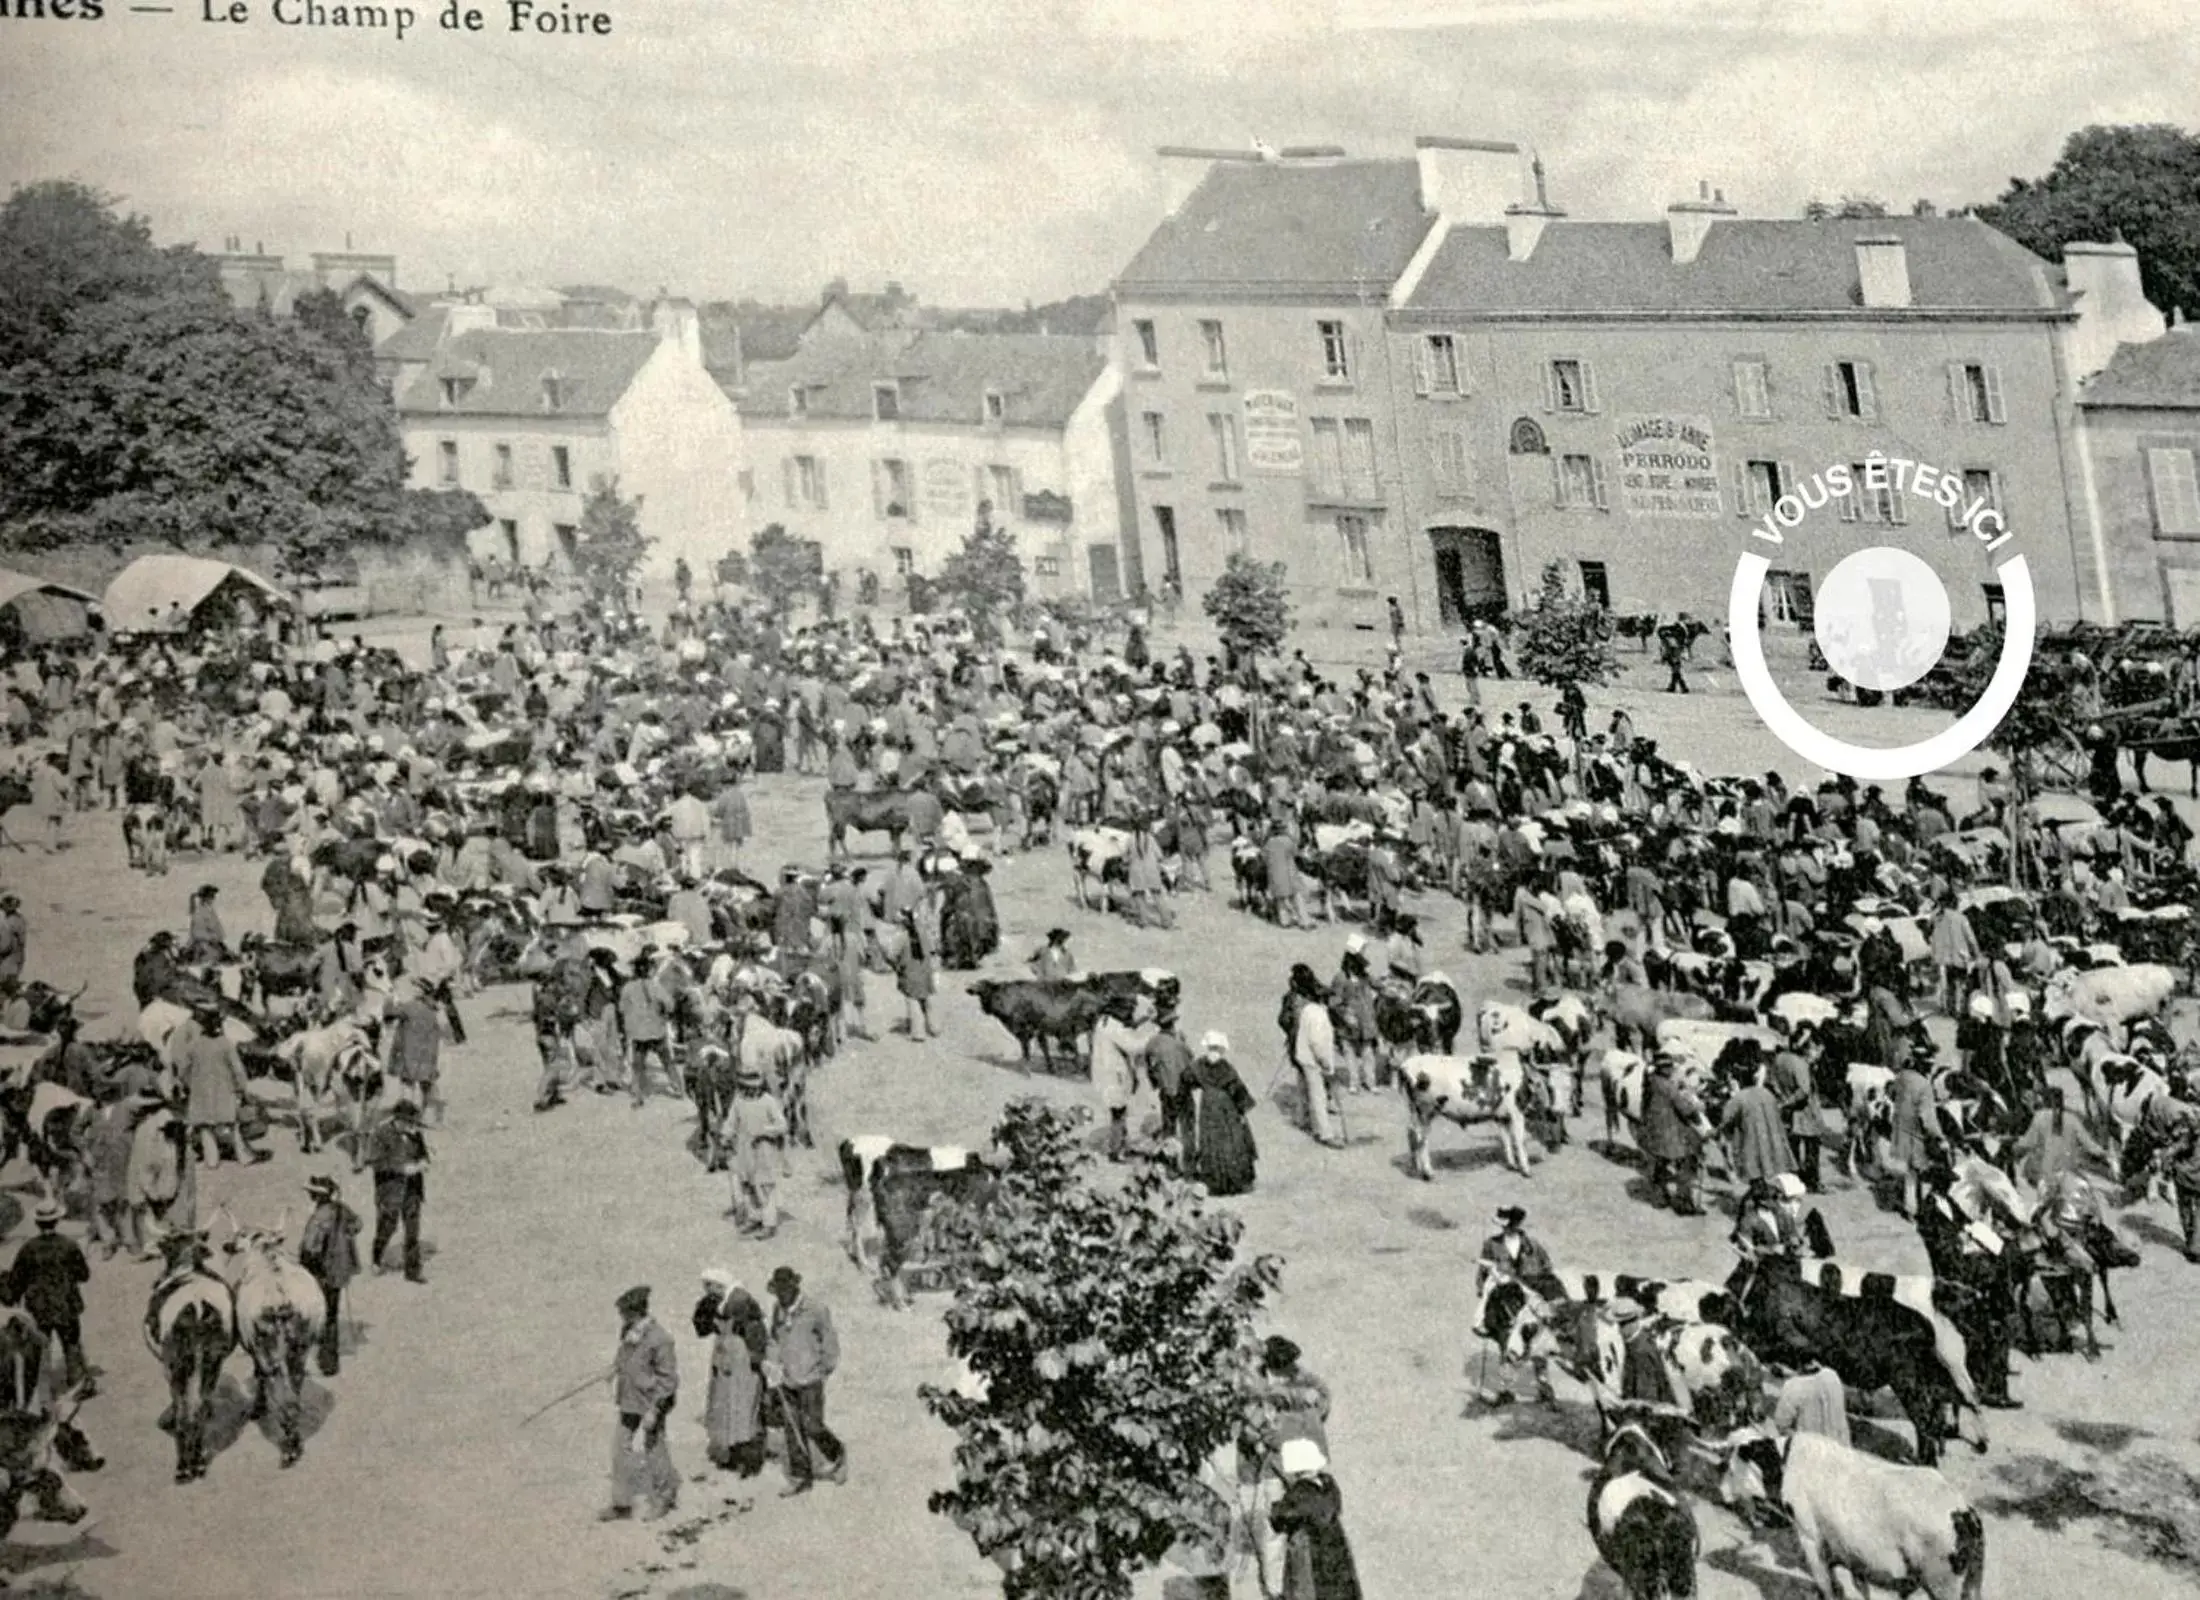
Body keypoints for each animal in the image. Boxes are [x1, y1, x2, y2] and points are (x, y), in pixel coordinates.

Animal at [968, 977, 1100, 1078]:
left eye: (987, 991)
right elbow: (1043, 1048)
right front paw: (1051, 1068)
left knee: (1080, 1050)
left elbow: (1027, 1051)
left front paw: (1026, 1071)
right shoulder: (1038, 1031)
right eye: (980, 994)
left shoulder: (1025, 1031)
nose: (985, 1009)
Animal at [1716, 1426, 1997, 1600]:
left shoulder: (1810, 1539)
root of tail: (1965, 1513)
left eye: (1729, 1467)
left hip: (1943, 1585)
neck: (1786, 1465)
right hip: (1971, 1583)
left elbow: (1827, 1586)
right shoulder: (1851, 1554)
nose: (1722, 1493)